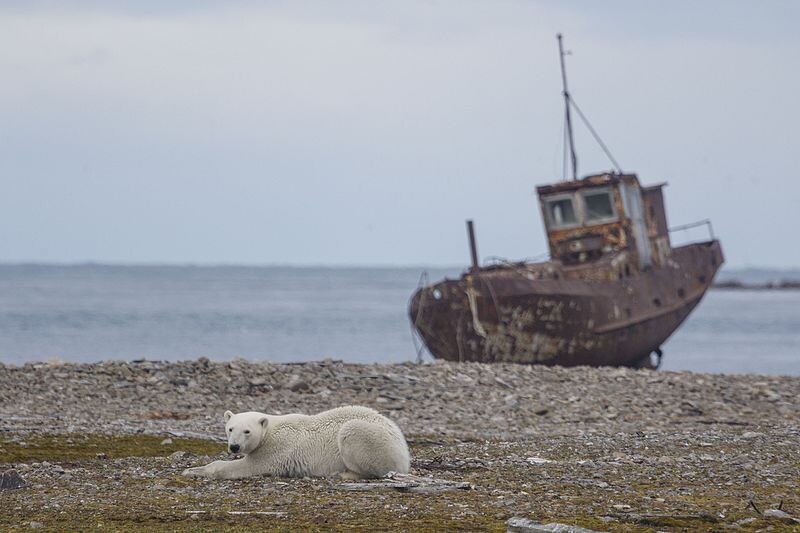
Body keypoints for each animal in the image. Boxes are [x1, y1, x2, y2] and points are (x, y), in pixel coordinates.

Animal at [180, 408, 406, 478]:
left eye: (247, 431)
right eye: (230, 428)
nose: (234, 447)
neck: (269, 430)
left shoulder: (276, 449)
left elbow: (248, 466)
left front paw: (192, 471)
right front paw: (191, 469)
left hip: (374, 439)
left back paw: (345, 473)